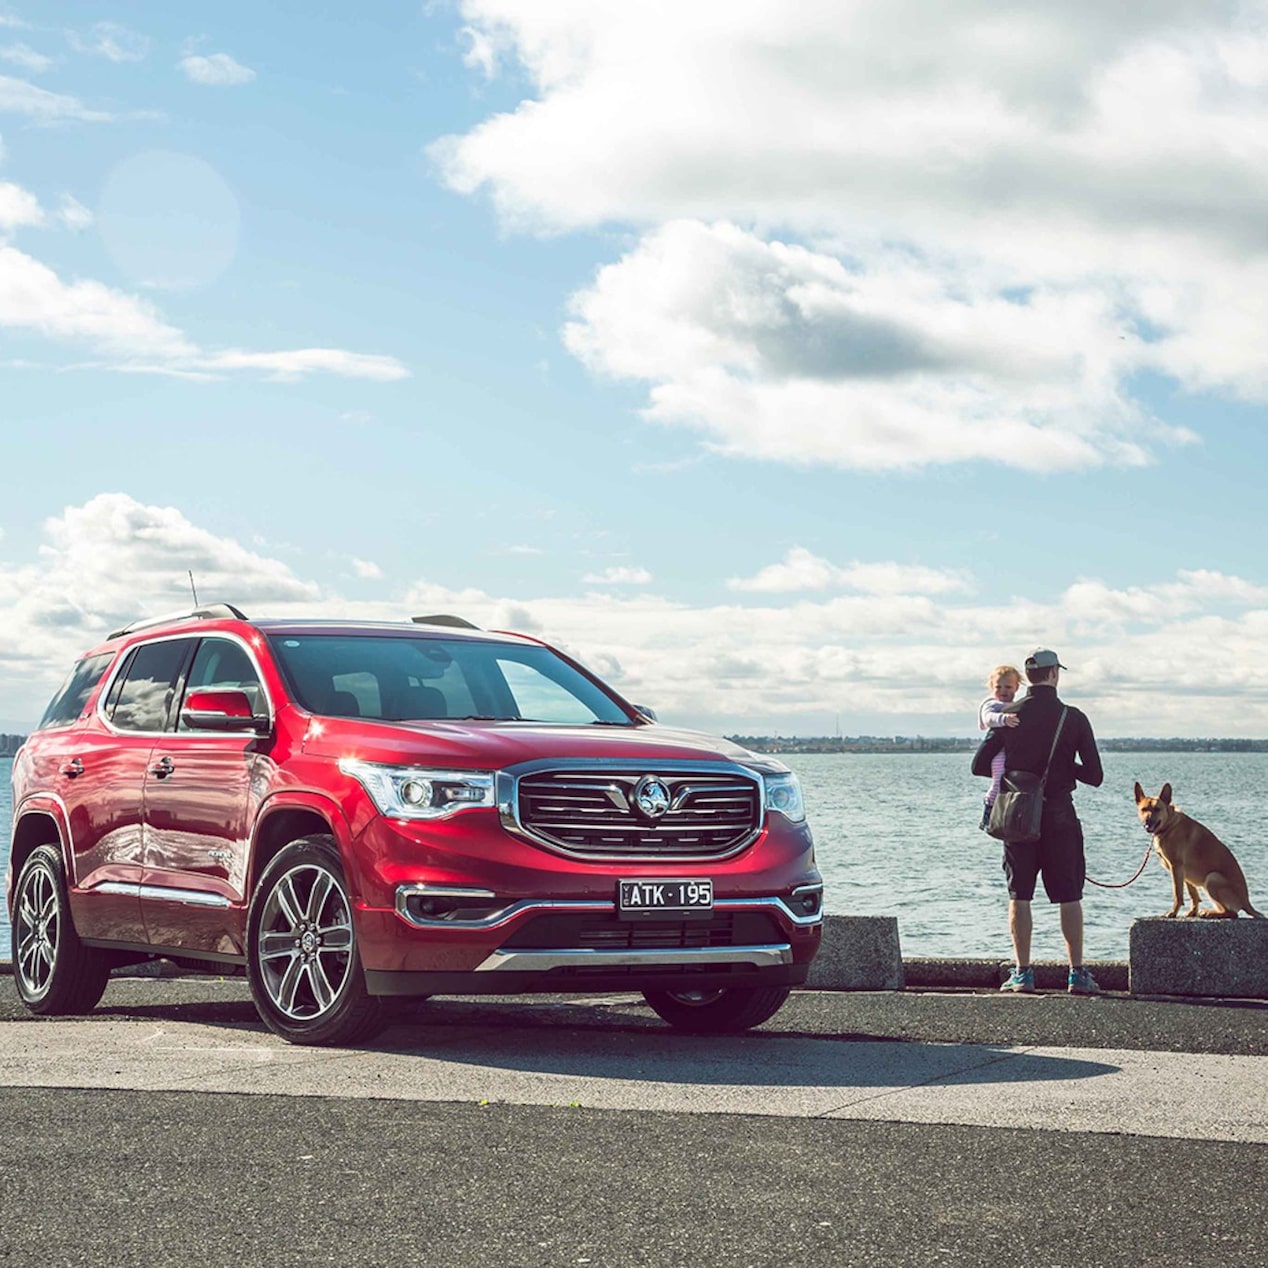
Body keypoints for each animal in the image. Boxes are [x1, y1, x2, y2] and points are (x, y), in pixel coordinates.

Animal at [1136, 776, 1262, 918]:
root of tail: (1247, 902)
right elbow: (1193, 894)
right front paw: (1193, 911)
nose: (1147, 821)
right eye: (1143, 809)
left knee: (1232, 913)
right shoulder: (1184, 873)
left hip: (1212, 878)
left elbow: (1178, 894)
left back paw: (1210, 913)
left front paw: (1173, 912)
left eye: (1157, 809)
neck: (1169, 824)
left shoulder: (1176, 867)